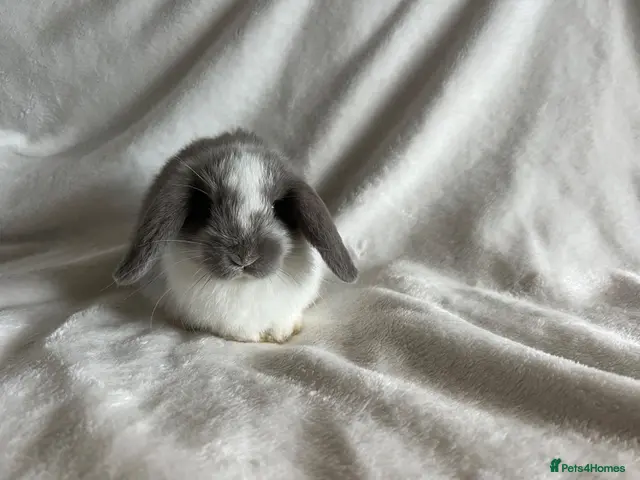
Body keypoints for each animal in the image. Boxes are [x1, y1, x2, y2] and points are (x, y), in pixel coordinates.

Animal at [112, 129, 358, 343]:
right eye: (205, 207)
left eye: (276, 207)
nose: (244, 257)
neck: (245, 286)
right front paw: (254, 336)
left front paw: (282, 333)